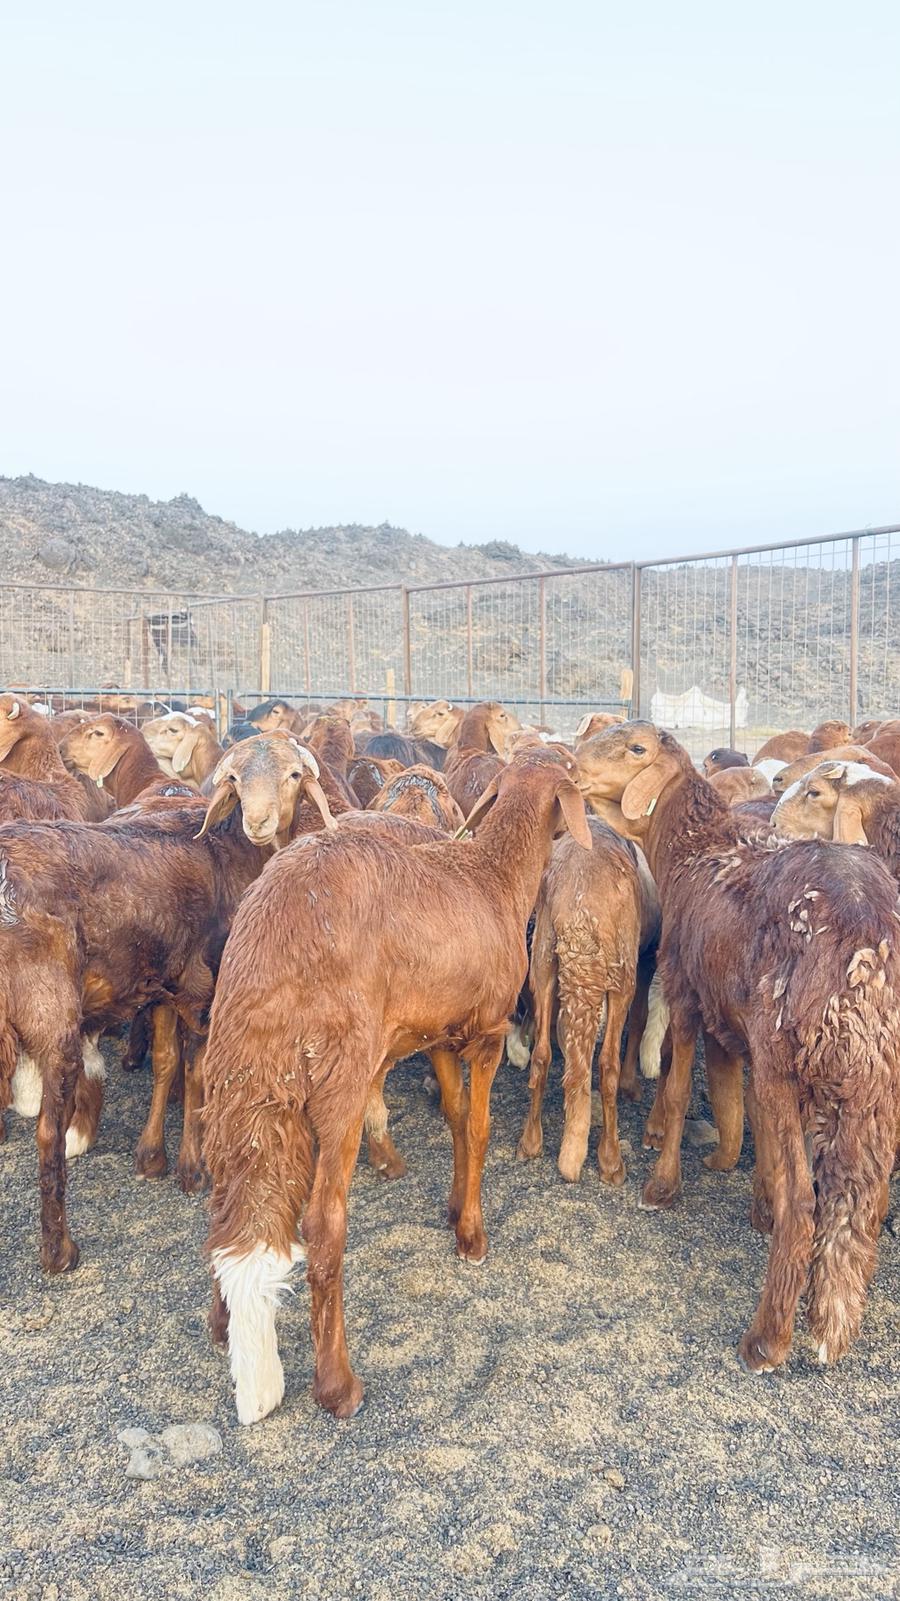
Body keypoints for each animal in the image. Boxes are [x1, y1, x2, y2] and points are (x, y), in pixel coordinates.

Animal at [0, 733, 337, 1269]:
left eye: (293, 776)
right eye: (235, 780)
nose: (258, 822)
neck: (232, 854)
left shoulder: (161, 983)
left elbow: (165, 1062)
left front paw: (152, 1157)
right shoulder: (204, 987)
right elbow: (197, 1071)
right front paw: (192, 1167)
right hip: (49, 1011)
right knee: (49, 1134)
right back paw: (59, 1250)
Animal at [202, 754, 592, 1423]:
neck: (496, 876)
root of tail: (274, 935)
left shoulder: (436, 1034)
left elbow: (456, 1118)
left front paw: (455, 1207)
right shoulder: (487, 1034)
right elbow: (479, 1128)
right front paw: (472, 1236)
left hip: (240, 1069)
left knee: (227, 1208)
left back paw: (226, 1327)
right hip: (338, 1076)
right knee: (324, 1223)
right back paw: (338, 1385)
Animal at [576, 720, 900, 1373]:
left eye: (636, 749)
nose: (568, 765)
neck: (693, 850)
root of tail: (866, 950)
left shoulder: (685, 990)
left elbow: (677, 1091)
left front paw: (661, 1187)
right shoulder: (745, 1037)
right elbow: (753, 1123)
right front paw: (755, 1201)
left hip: (790, 1058)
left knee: (808, 1203)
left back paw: (768, 1337)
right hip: (871, 1080)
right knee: (861, 1202)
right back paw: (832, 1323)